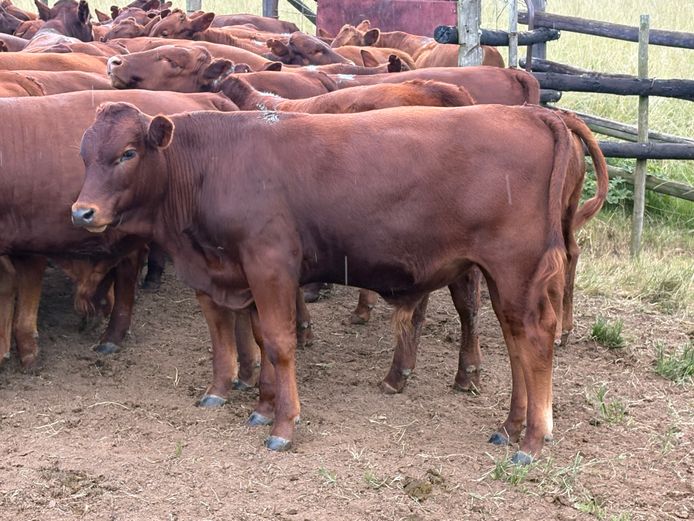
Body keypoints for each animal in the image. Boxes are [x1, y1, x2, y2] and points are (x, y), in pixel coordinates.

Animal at [73, 102, 588, 463]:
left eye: (127, 153)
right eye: (85, 155)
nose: (82, 212)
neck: (213, 165)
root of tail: (535, 113)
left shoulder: (270, 264)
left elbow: (279, 342)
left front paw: (282, 426)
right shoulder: (236, 273)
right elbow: (250, 337)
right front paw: (256, 403)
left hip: (516, 270)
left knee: (534, 340)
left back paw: (533, 440)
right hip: (505, 280)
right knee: (516, 341)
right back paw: (511, 426)